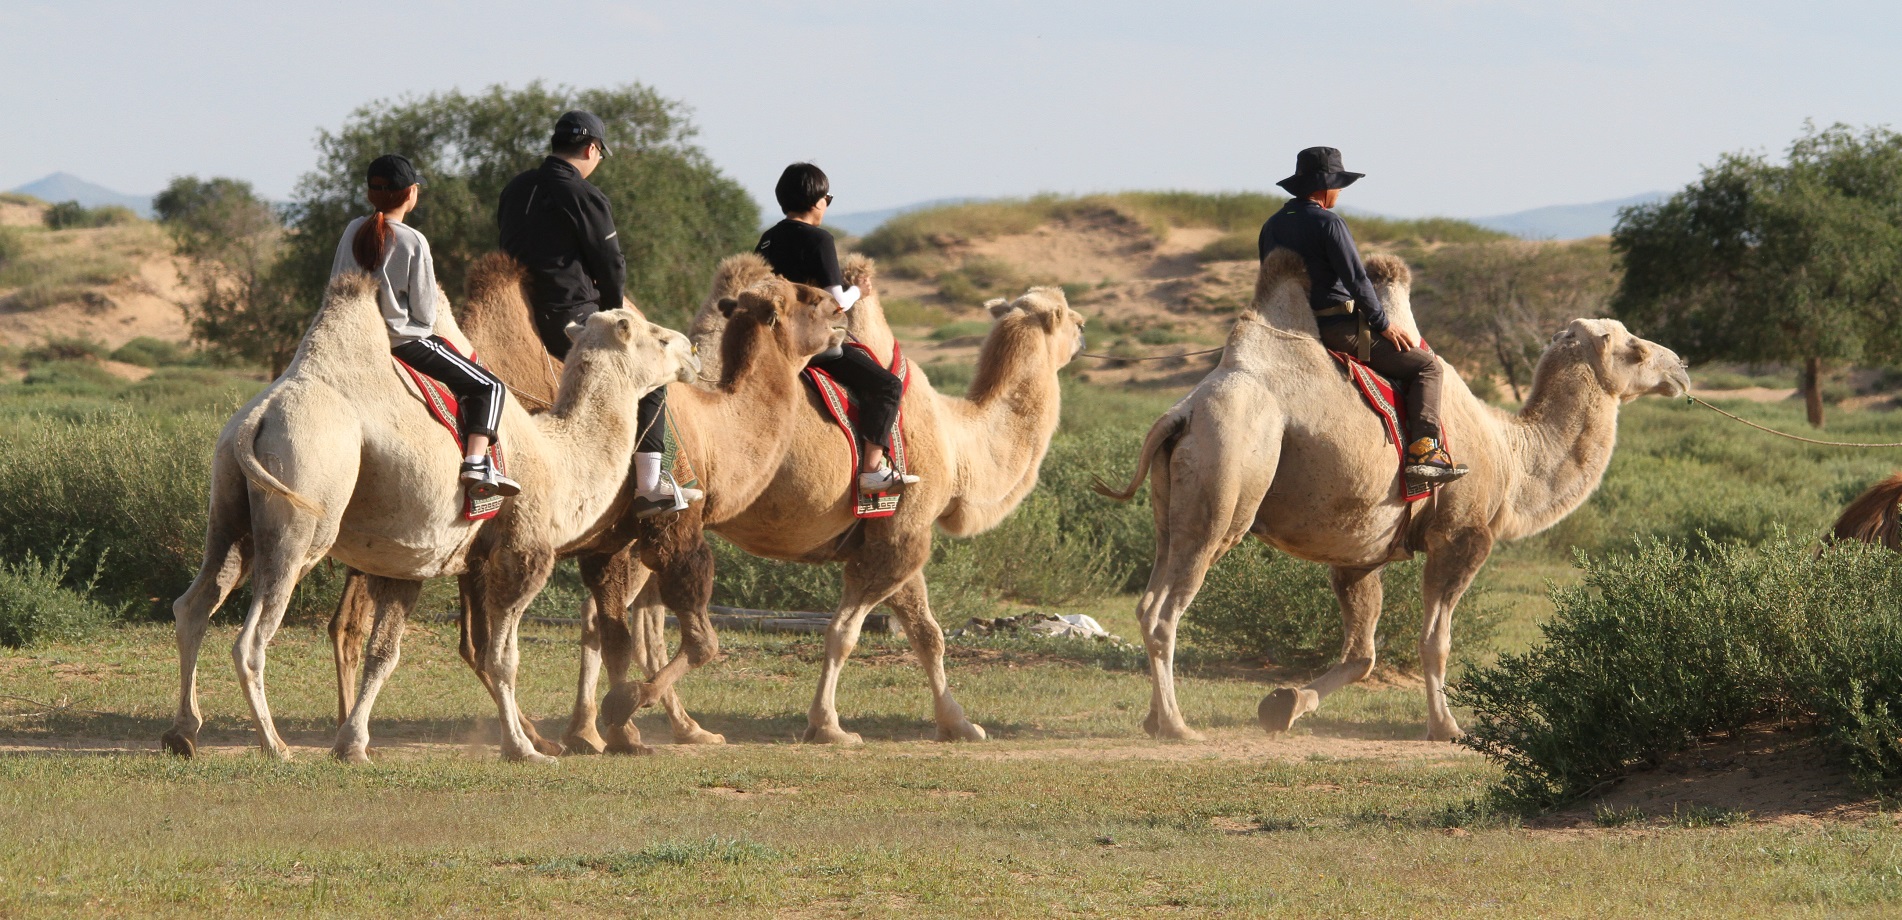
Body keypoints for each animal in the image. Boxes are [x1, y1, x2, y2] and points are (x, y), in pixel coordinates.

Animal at [158, 269, 699, 763]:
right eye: (657, 336)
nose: (692, 352)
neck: (558, 462)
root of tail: (259, 415)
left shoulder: (408, 563)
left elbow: (384, 654)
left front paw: (352, 746)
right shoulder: (522, 553)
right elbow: (503, 659)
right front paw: (524, 749)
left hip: (229, 512)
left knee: (193, 604)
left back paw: (183, 733)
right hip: (302, 511)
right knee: (252, 636)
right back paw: (275, 745)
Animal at [1095, 248, 1690, 742]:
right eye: (1636, 351)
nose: (1681, 369)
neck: (1511, 456)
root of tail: (1185, 411)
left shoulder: (1359, 551)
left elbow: (1362, 653)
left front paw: (1284, 704)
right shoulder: (1462, 535)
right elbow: (1435, 640)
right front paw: (1446, 727)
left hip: (1173, 507)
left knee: (1151, 594)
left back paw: (1155, 718)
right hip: (1226, 486)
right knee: (1166, 609)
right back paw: (1177, 726)